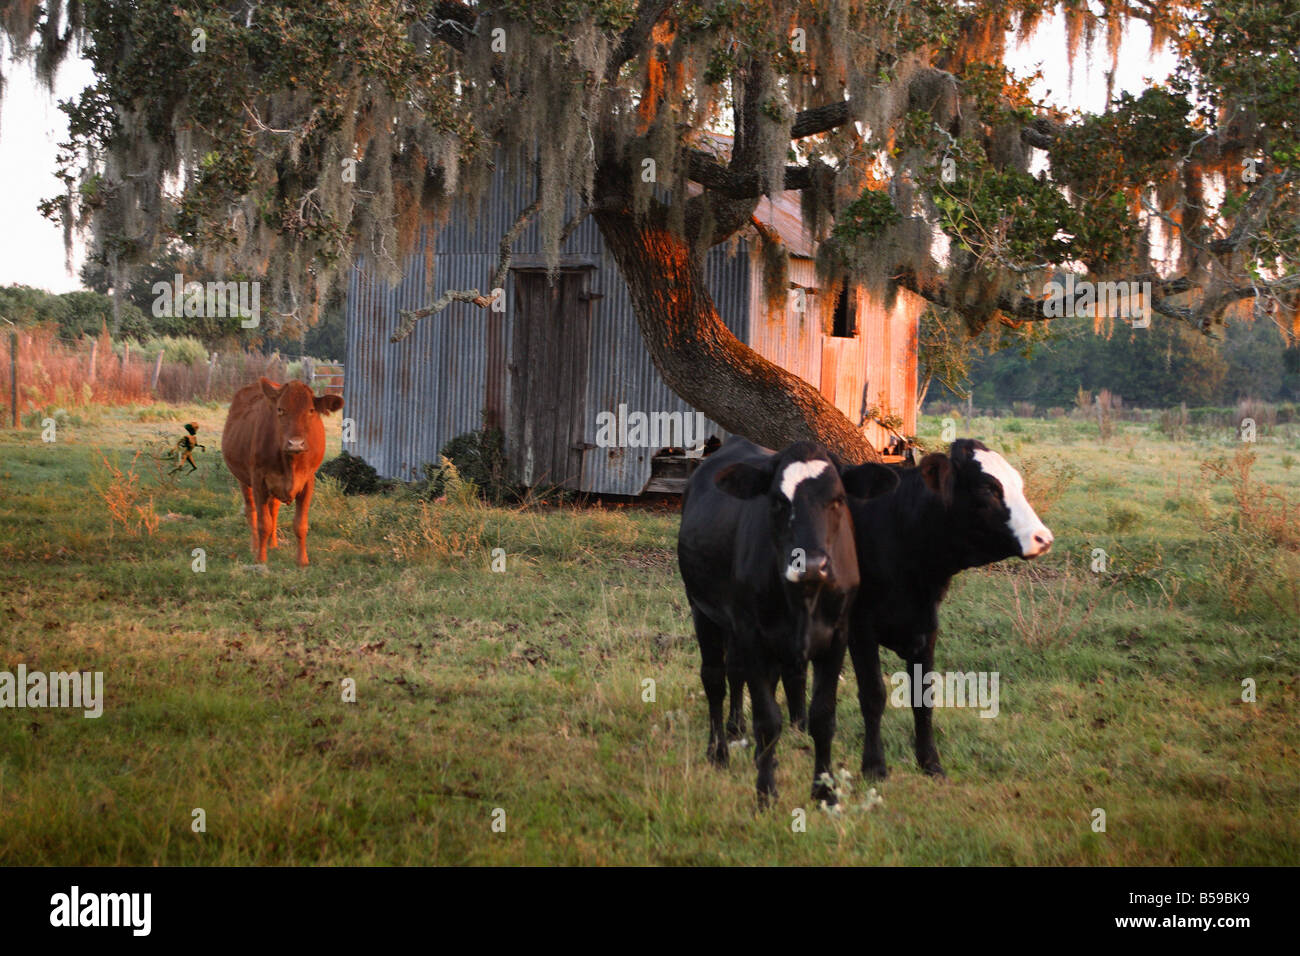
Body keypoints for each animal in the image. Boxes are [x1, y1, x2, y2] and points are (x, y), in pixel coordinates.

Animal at [223, 377, 345, 564]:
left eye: (311, 410)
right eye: (280, 409)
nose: (295, 443)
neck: (290, 463)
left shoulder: (308, 481)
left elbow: (300, 524)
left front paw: (302, 560)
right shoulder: (258, 480)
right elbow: (263, 523)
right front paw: (261, 558)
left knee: (274, 509)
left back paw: (273, 544)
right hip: (243, 479)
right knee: (251, 511)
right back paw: (255, 546)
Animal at [676, 437, 899, 806]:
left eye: (838, 499)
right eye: (778, 501)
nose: (810, 565)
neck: (803, 601)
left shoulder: (837, 637)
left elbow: (822, 716)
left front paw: (825, 791)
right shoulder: (751, 633)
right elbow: (767, 720)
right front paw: (766, 792)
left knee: (737, 672)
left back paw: (740, 732)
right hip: (702, 609)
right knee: (715, 679)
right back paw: (718, 751)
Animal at [842, 439, 1055, 780]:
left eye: (1016, 483)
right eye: (987, 488)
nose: (1043, 539)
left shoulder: (926, 627)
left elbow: (923, 697)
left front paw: (930, 762)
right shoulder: (860, 626)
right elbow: (873, 695)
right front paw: (874, 766)